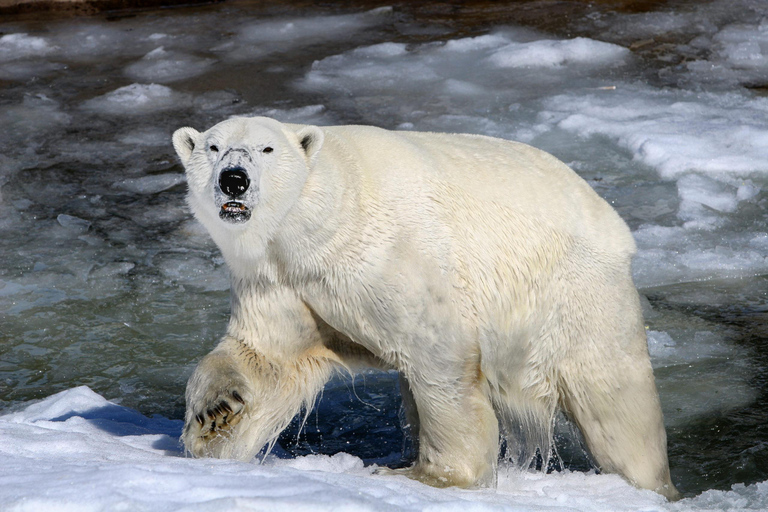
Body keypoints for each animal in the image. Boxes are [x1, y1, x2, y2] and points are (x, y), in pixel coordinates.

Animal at [172, 116, 680, 500]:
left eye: (267, 149)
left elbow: (438, 353)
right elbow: (266, 356)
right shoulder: (279, 279)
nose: (233, 179)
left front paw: (432, 477)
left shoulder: (389, 255)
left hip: (574, 296)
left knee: (616, 404)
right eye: (214, 147)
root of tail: (613, 223)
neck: (315, 223)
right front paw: (215, 414)